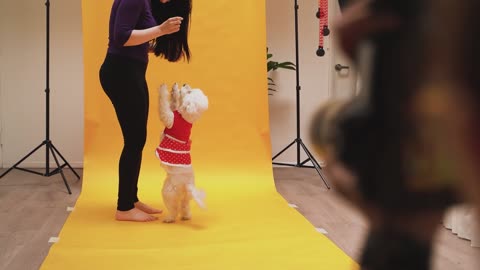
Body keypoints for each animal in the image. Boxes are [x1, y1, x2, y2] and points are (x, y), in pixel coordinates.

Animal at [154, 83, 206, 223]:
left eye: (189, 92)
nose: (184, 84)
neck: (185, 116)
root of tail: (188, 185)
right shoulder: (175, 112)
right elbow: (174, 104)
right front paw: (175, 91)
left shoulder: (169, 119)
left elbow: (164, 106)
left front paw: (163, 90)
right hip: (184, 196)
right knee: (185, 205)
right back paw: (186, 216)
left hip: (169, 191)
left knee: (174, 208)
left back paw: (169, 218)